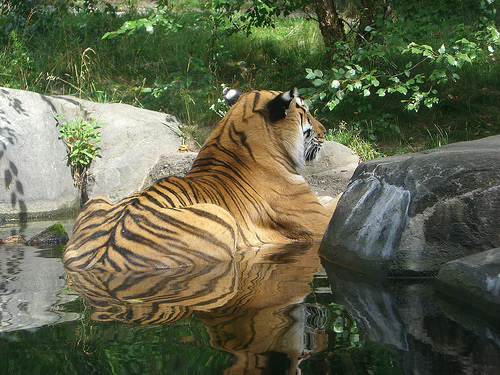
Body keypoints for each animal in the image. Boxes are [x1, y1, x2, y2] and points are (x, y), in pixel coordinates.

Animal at [61, 88, 336, 270]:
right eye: (306, 112)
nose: (325, 131)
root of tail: (100, 260)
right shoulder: (318, 223)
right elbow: (335, 204)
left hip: (96, 201)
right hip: (222, 219)